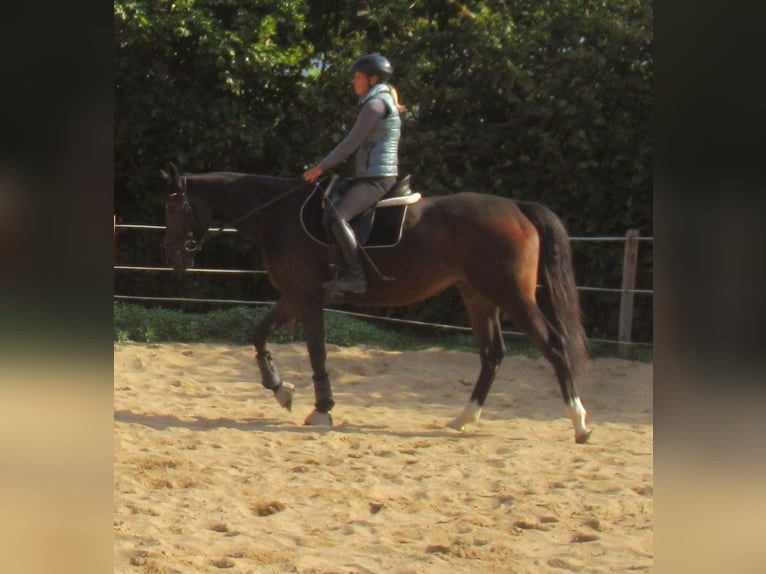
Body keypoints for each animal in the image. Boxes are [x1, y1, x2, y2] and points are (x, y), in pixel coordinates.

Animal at [161, 163, 592, 443]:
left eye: (174, 209)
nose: (175, 258)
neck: (278, 214)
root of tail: (516, 207)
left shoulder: (308, 297)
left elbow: (316, 351)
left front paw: (321, 409)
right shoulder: (293, 296)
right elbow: (259, 334)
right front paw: (280, 390)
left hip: (512, 296)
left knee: (553, 347)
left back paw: (579, 422)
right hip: (480, 297)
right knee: (493, 354)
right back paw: (464, 418)